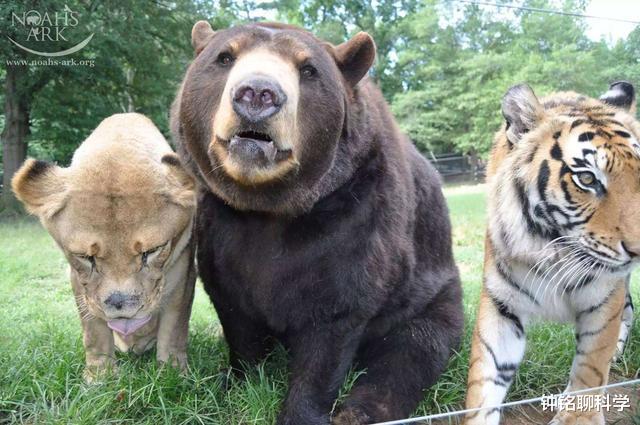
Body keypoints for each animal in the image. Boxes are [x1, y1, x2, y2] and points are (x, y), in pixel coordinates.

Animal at [12, 113, 197, 382]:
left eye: (151, 252)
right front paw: (101, 376)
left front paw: (172, 374)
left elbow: (174, 328)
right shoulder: (80, 283)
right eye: (85, 257)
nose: (120, 307)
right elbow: (94, 331)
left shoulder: (184, 270)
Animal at [171, 21, 463, 424]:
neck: (268, 207)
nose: (257, 93)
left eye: (308, 69)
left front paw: (301, 411)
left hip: (431, 298)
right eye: (225, 57)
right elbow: (235, 312)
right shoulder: (221, 228)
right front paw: (237, 383)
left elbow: (334, 320)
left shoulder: (357, 219)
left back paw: (358, 410)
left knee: (413, 351)